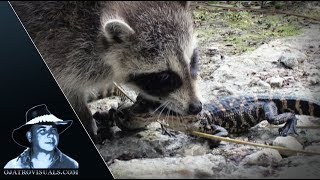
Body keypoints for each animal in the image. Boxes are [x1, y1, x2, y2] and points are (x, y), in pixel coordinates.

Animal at [11, 1, 204, 142]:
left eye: (193, 61)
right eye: (163, 76)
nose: (196, 107)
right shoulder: (58, 41)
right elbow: (67, 86)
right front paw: (85, 119)